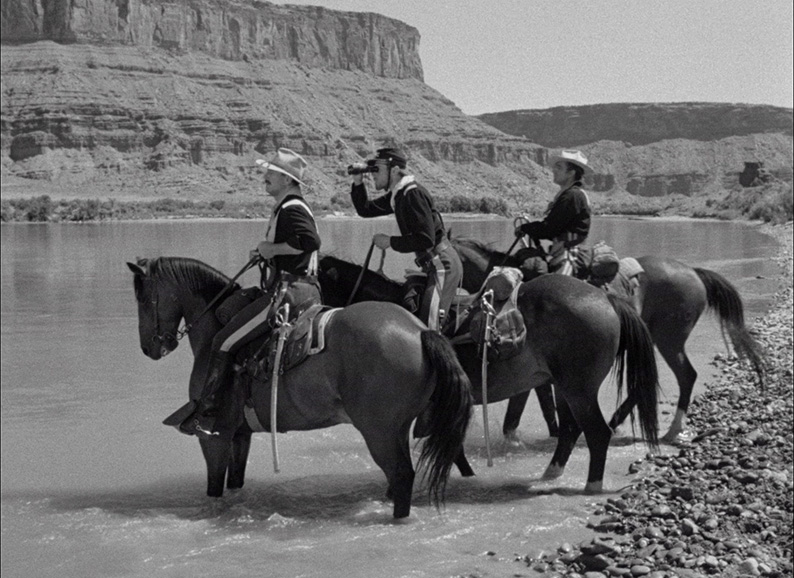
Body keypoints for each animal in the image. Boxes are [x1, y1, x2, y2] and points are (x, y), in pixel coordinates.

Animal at [124, 256, 470, 516]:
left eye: (143, 298)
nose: (148, 348)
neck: (214, 335)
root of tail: (421, 331)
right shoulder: (240, 435)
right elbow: (235, 482)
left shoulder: (214, 438)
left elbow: (214, 489)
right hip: (397, 429)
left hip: (379, 432)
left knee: (400, 476)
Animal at [318, 253, 660, 490]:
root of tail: (608, 299)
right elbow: (454, 449)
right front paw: (469, 477)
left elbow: (451, 448)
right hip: (564, 388)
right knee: (570, 430)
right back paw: (550, 473)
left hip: (579, 389)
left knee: (596, 433)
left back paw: (590, 484)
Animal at [452, 234, 768, 440]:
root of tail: (694, 272)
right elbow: (534, 407)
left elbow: (526, 409)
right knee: (645, 384)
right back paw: (619, 422)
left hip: (669, 340)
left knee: (686, 375)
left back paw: (670, 430)